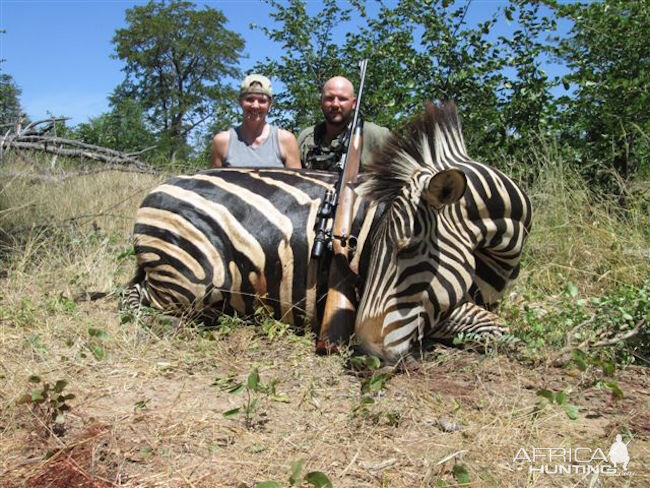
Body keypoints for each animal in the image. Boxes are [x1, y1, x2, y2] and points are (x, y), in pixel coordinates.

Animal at [124, 102, 528, 362]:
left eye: (410, 249)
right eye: (375, 246)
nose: (365, 351)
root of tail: (158, 188)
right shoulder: (441, 310)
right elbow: (501, 332)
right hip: (192, 276)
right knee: (136, 302)